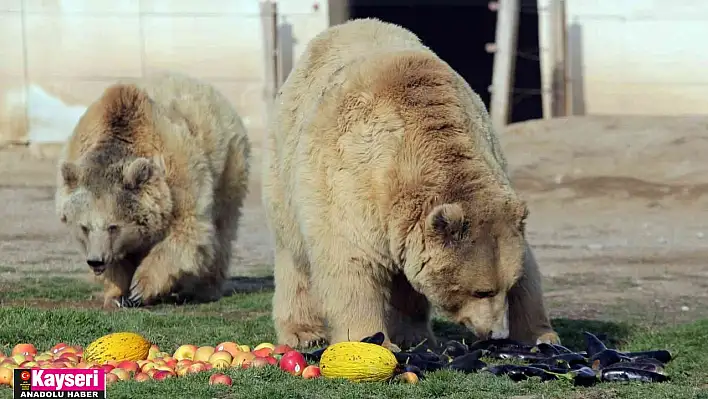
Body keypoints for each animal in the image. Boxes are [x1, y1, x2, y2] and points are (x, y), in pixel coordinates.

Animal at [54, 72, 252, 310]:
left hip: (228, 165)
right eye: (84, 227)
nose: (96, 261)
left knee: (222, 229)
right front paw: (116, 295)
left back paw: (203, 289)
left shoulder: (176, 178)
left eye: (113, 226)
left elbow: (186, 231)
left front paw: (140, 288)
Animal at [262, 18, 560, 350]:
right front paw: (371, 341)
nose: (496, 334)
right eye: (481, 291)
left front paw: (542, 335)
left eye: (506, 286)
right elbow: (352, 262)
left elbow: (527, 264)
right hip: (285, 163)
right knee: (294, 253)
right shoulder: (351, 180)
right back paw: (303, 332)